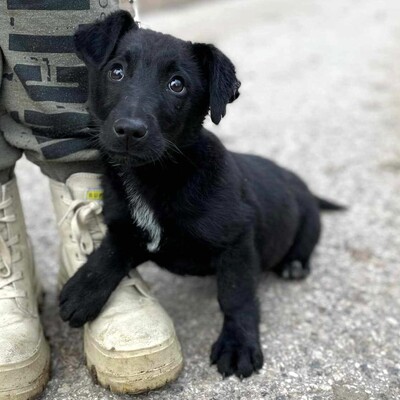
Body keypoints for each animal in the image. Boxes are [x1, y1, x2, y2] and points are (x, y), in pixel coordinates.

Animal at [59, 9, 340, 378]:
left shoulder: (237, 241)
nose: (129, 131)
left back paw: (294, 264)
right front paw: (83, 289)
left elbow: (236, 295)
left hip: (308, 221)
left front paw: (238, 344)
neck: (156, 177)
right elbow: (109, 252)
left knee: (305, 245)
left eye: (177, 85)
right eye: (116, 71)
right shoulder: (126, 230)